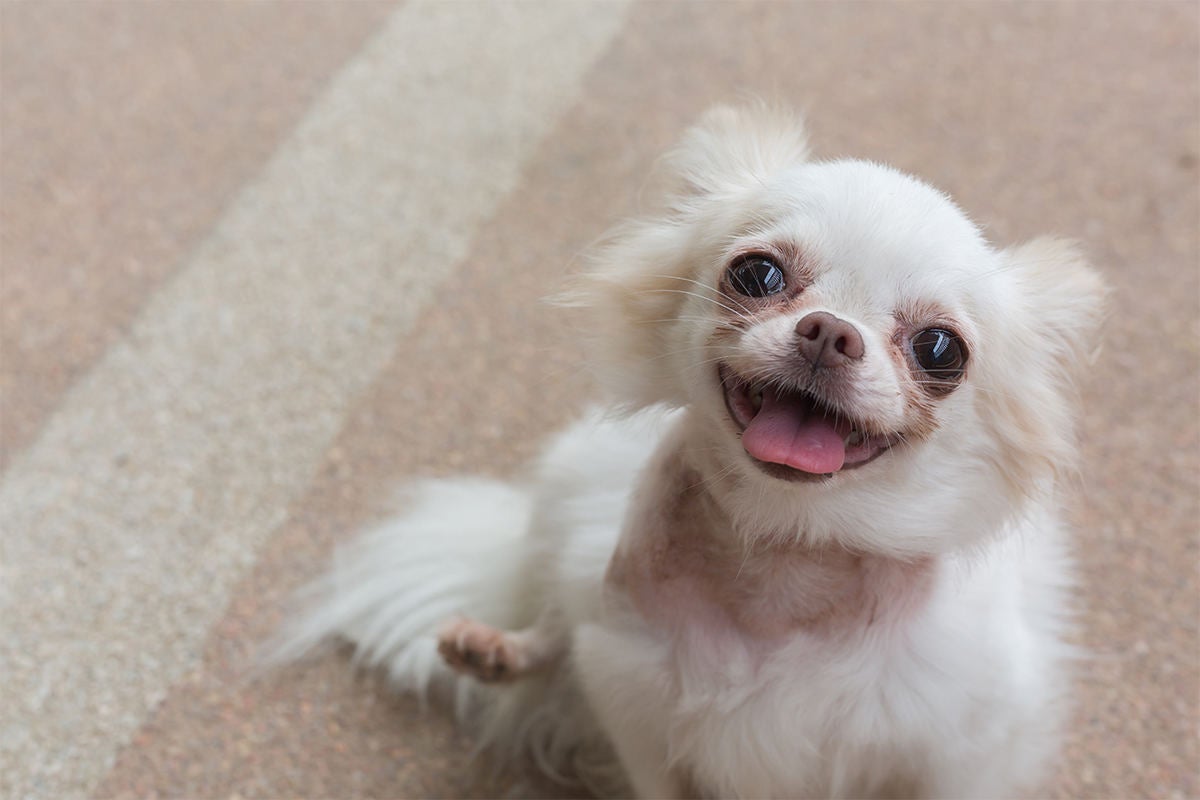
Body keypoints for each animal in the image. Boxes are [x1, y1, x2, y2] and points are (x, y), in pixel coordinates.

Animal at [276, 107, 1108, 800]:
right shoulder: (641, 708)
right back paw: (500, 650)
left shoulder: (950, 747)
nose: (831, 331)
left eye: (940, 350)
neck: (785, 555)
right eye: (757, 273)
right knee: (561, 616)